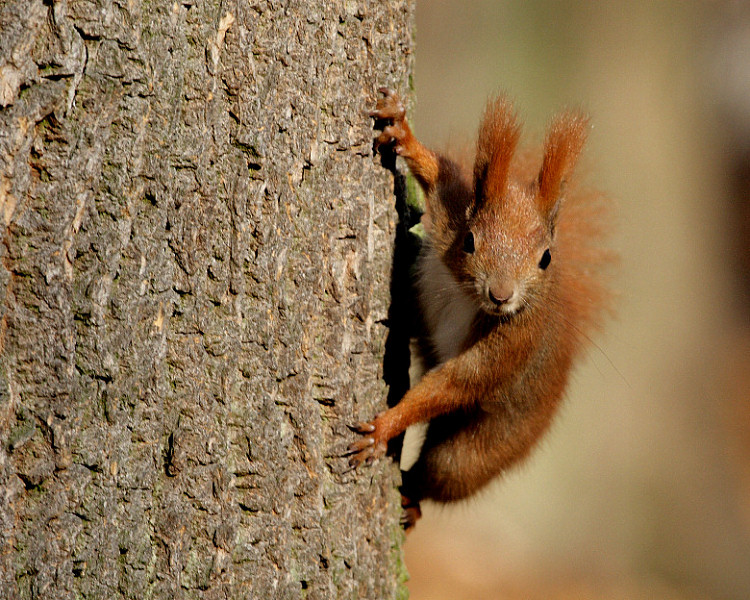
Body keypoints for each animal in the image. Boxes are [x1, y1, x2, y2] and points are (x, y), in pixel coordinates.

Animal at [350, 86, 612, 528]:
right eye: (470, 241)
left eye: (545, 258)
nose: (501, 296)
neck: (467, 295)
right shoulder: (452, 212)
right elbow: (439, 175)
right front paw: (400, 131)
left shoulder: (513, 343)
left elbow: (453, 383)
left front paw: (386, 426)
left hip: (480, 449)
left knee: (444, 473)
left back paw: (412, 500)